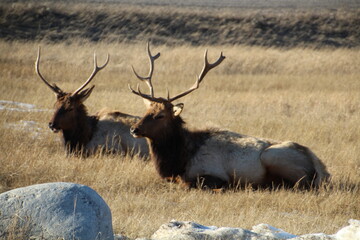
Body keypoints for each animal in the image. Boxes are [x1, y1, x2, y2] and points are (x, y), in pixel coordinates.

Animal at [128, 43, 330, 189]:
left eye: (160, 115)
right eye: (146, 112)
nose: (134, 129)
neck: (179, 159)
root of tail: (322, 168)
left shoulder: (212, 173)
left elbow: (190, 184)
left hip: (273, 157)